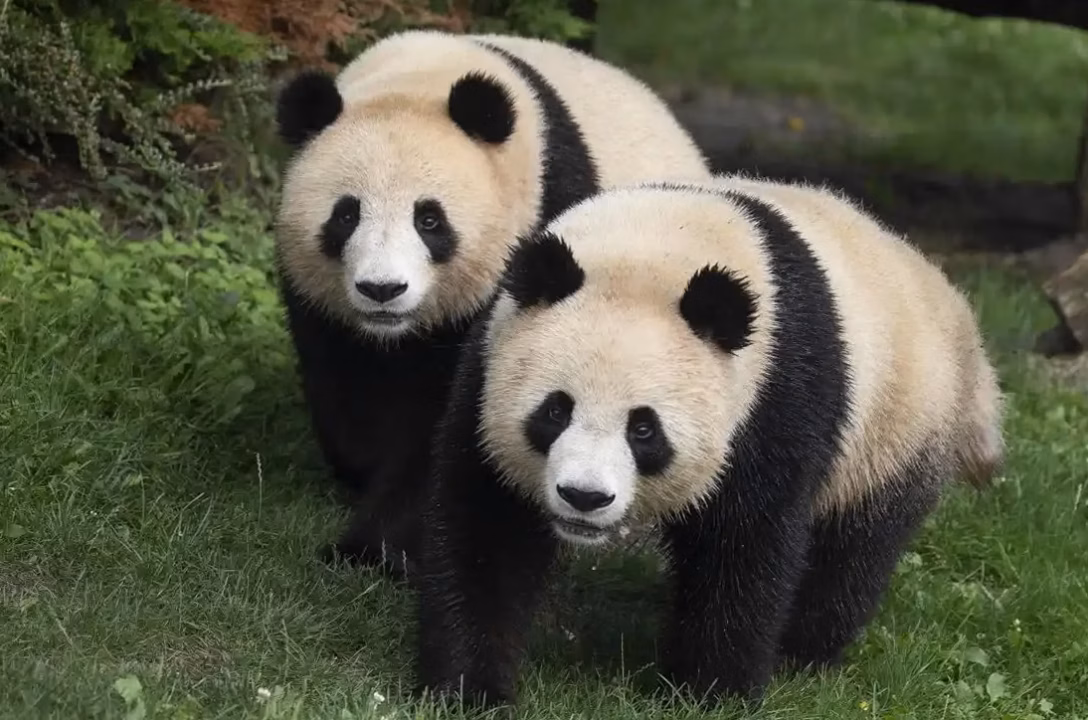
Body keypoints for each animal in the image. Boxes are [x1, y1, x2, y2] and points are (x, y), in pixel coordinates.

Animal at [273, 30, 711, 577]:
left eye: (429, 220)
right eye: (346, 215)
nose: (382, 289)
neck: (421, 76)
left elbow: (448, 426)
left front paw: (375, 549)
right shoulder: (320, 303)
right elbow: (345, 386)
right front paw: (361, 477)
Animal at [414, 176, 1004, 708]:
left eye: (644, 429)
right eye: (555, 411)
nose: (585, 497)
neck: (654, 245)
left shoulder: (775, 395)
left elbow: (745, 545)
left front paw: (709, 693)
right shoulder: (486, 366)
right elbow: (487, 528)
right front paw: (467, 691)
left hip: (895, 424)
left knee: (853, 549)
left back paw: (801, 652)